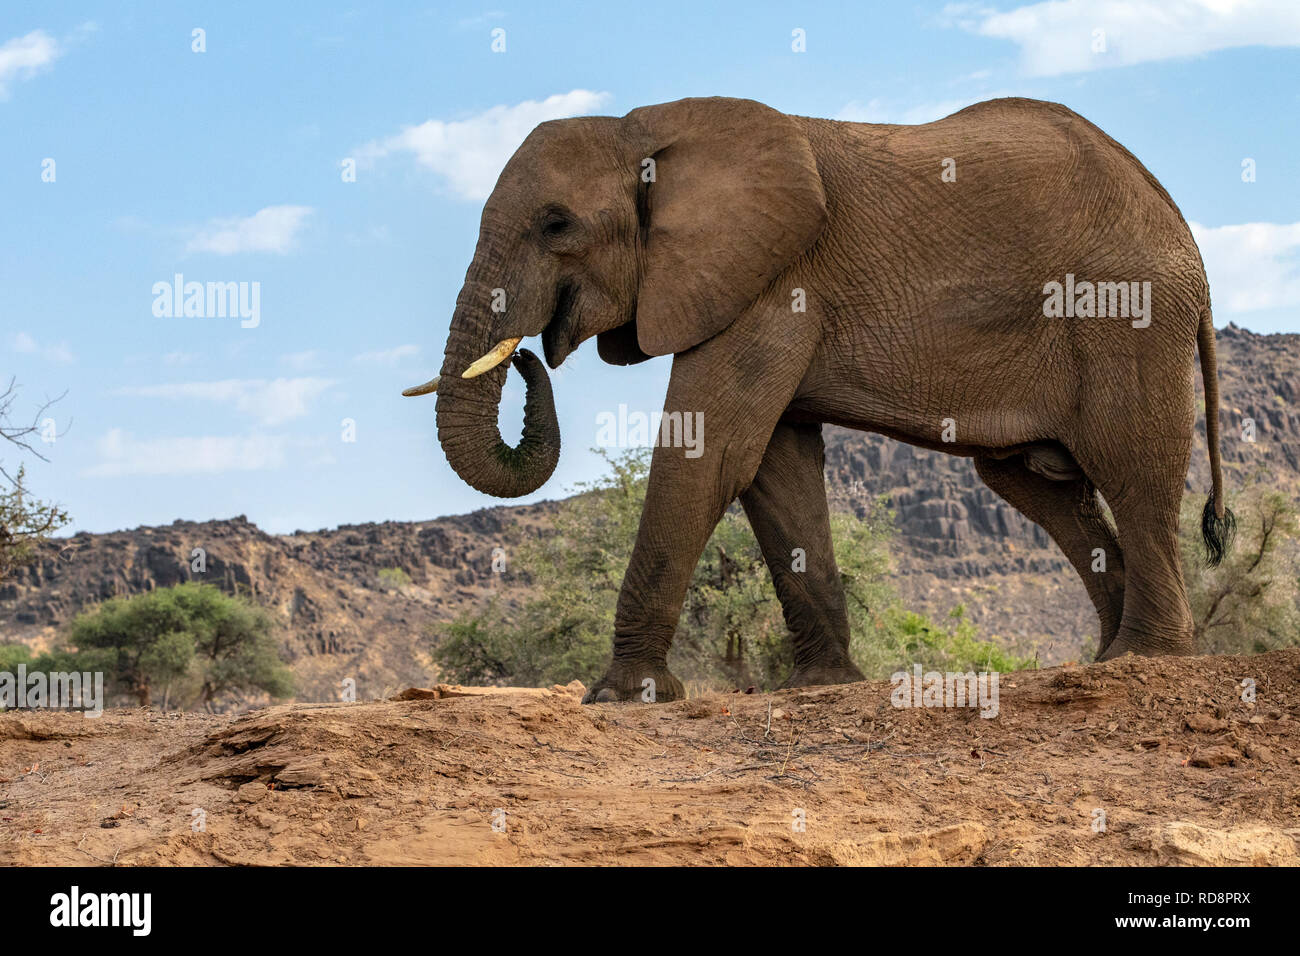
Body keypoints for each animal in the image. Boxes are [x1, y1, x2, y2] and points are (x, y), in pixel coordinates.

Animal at [403, 97, 1227, 702]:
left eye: (556, 224)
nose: (528, 353)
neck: (647, 129)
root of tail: (1179, 225)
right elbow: (775, 470)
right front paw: (823, 685)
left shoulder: (772, 281)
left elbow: (709, 455)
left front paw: (623, 696)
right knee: (1044, 489)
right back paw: (1106, 654)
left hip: (1125, 316)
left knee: (1133, 470)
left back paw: (1141, 659)